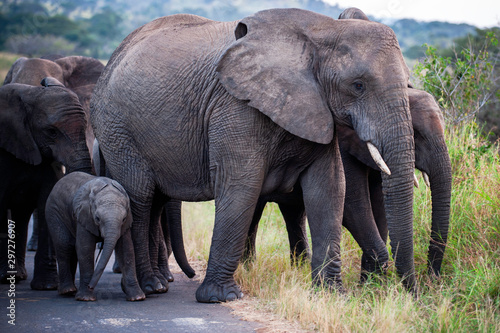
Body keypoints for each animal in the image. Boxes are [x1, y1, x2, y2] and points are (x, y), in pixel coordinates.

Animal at [0, 78, 93, 288]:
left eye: (84, 128)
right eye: (51, 132)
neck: (31, 94)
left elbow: (46, 204)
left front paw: (47, 286)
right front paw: (3, 278)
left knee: (21, 215)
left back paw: (18, 276)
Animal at [45, 171, 145, 300]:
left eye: (123, 219)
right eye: (97, 218)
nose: (91, 286)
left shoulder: (127, 221)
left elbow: (126, 249)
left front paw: (137, 297)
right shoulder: (84, 216)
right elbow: (85, 248)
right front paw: (85, 298)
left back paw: (71, 291)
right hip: (53, 212)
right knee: (64, 245)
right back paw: (67, 291)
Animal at [92, 9, 416, 300]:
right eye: (358, 86)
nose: (410, 295)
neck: (322, 30)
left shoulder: (318, 111)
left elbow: (329, 189)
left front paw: (333, 296)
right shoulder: (235, 107)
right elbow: (241, 185)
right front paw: (221, 297)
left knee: (153, 200)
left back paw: (156, 284)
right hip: (117, 129)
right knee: (140, 198)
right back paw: (149, 288)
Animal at [244, 86, 452, 280]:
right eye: (417, 135)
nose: (430, 279)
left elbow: (381, 206)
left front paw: (371, 285)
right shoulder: (342, 148)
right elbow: (351, 205)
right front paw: (372, 284)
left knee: (293, 215)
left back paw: (297, 269)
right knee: (254, 214)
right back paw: (249, 268)